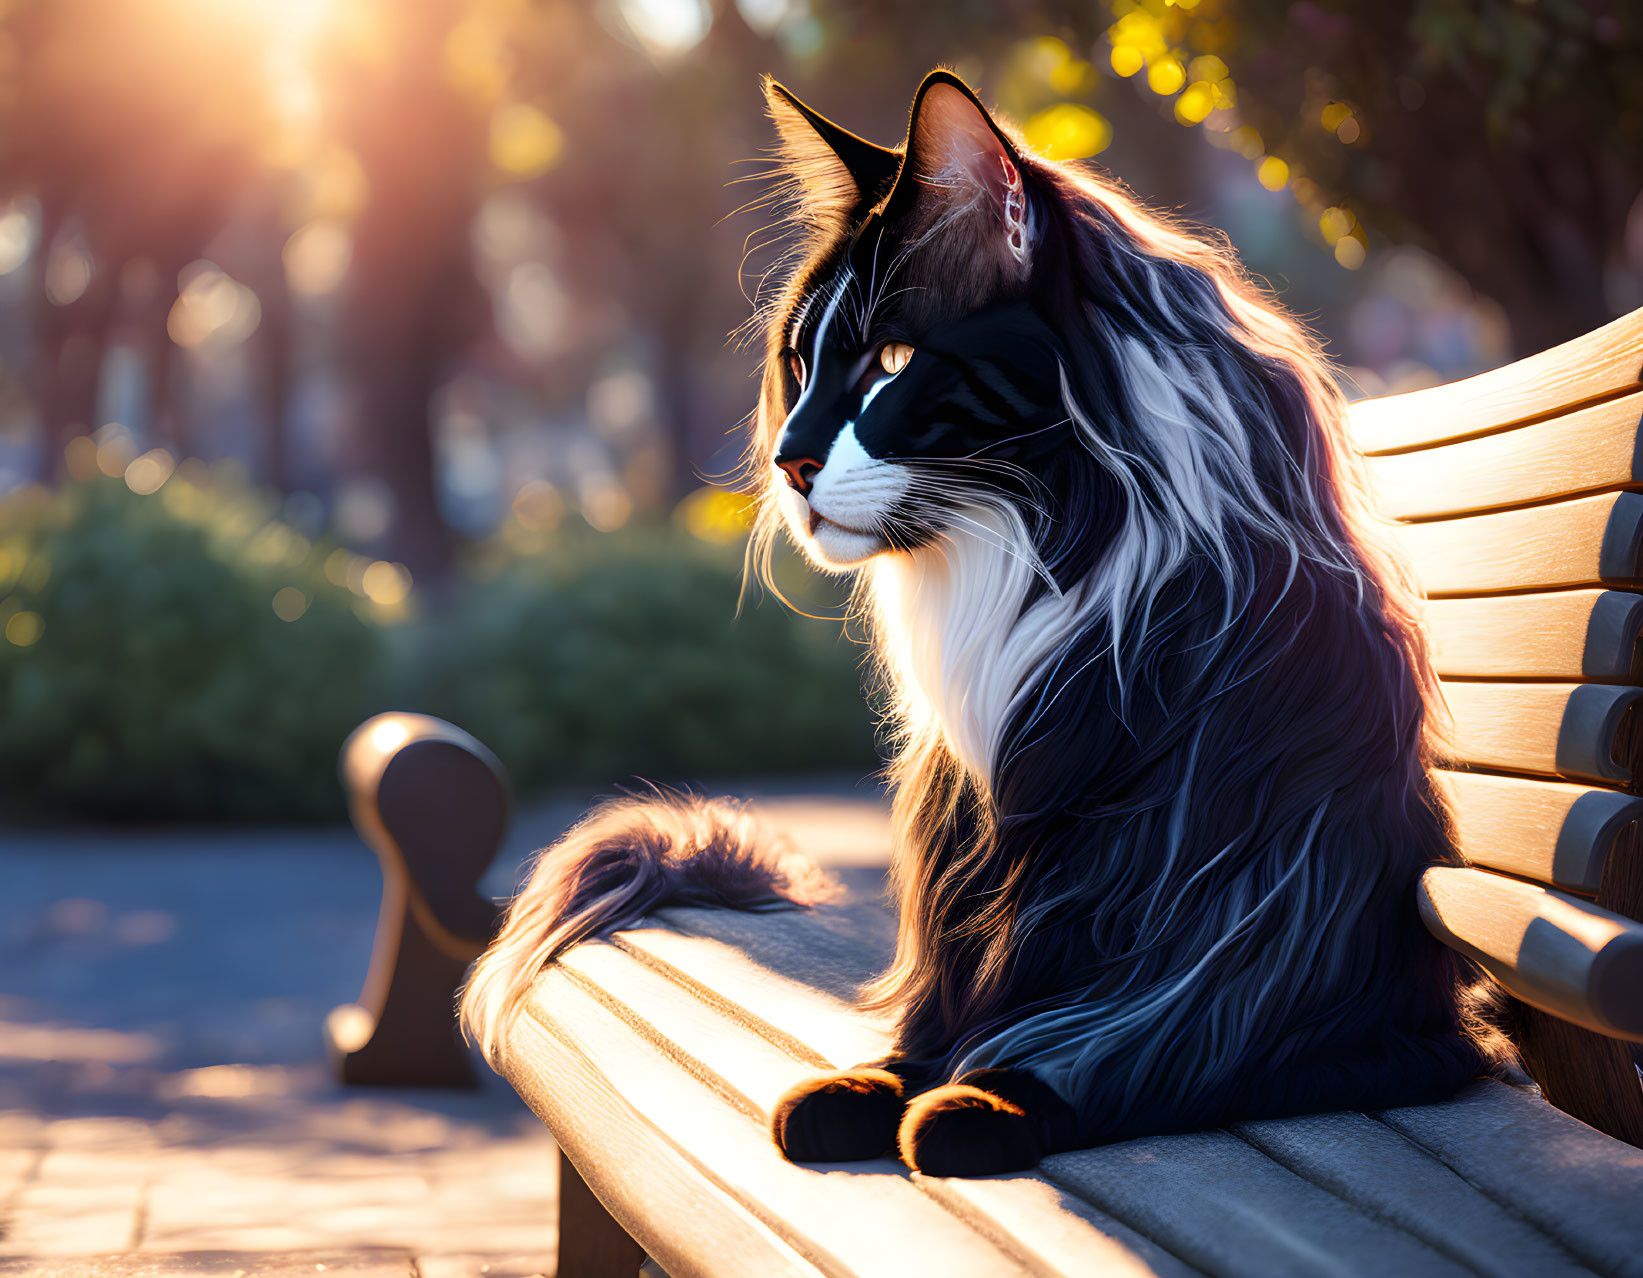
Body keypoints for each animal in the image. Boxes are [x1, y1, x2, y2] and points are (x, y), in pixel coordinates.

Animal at [466, 69, 1511, 1176]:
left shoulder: (1219, 853)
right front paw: (882, 1083)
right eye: (799, 361)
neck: (1043, 551)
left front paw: (999, 1098)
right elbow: (959, 984)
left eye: (890, 360)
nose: (788, 463)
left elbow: (1154, 1025)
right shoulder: (969, 814)